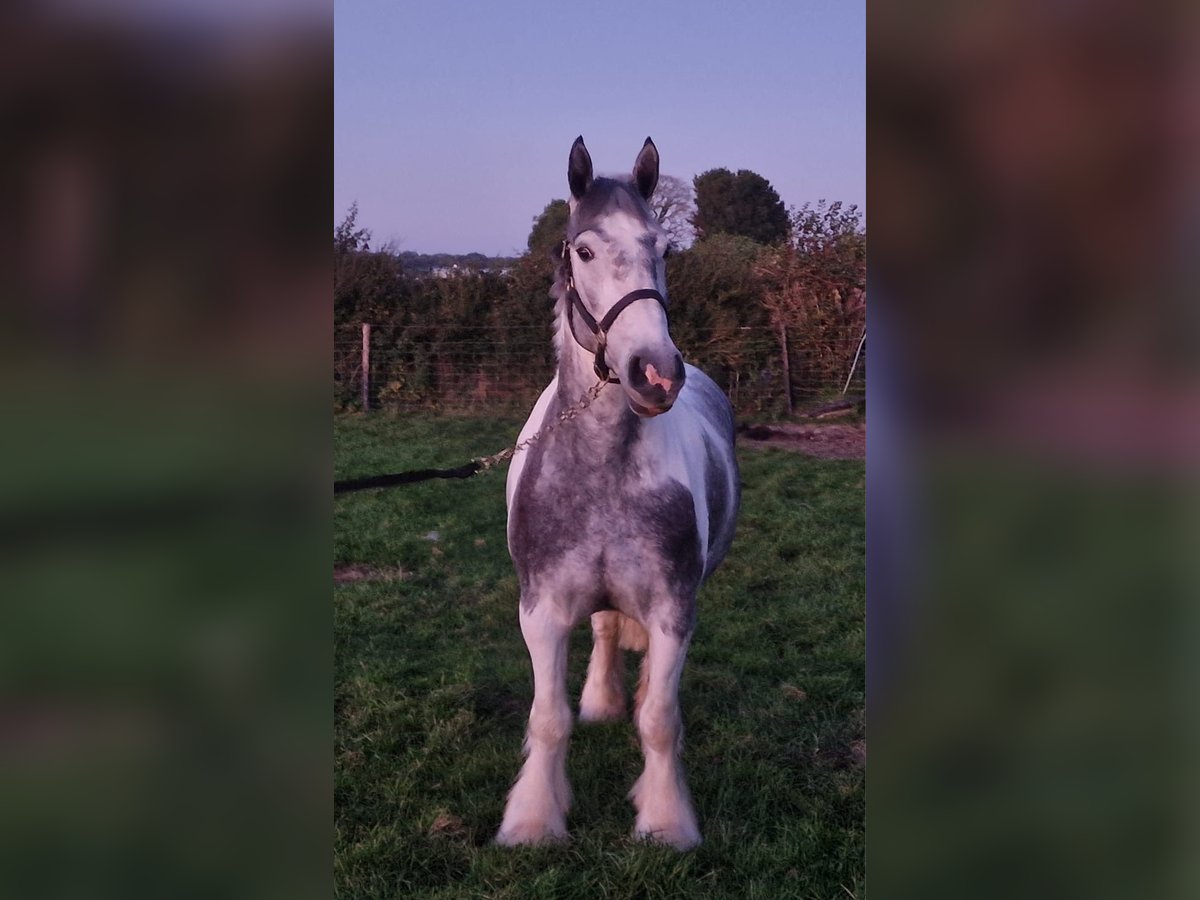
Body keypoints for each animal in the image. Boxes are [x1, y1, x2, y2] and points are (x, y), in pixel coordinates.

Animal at [492, 135, 734, 854]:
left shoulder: (674, 607)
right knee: (601, 626)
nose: (655, 373)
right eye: (584, 251)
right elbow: (549, 718)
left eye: (662, 248)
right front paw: (533, 820)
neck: (603, 465)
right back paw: (602, 699)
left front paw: (665, 819)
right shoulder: (541, 611)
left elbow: (658, 719)